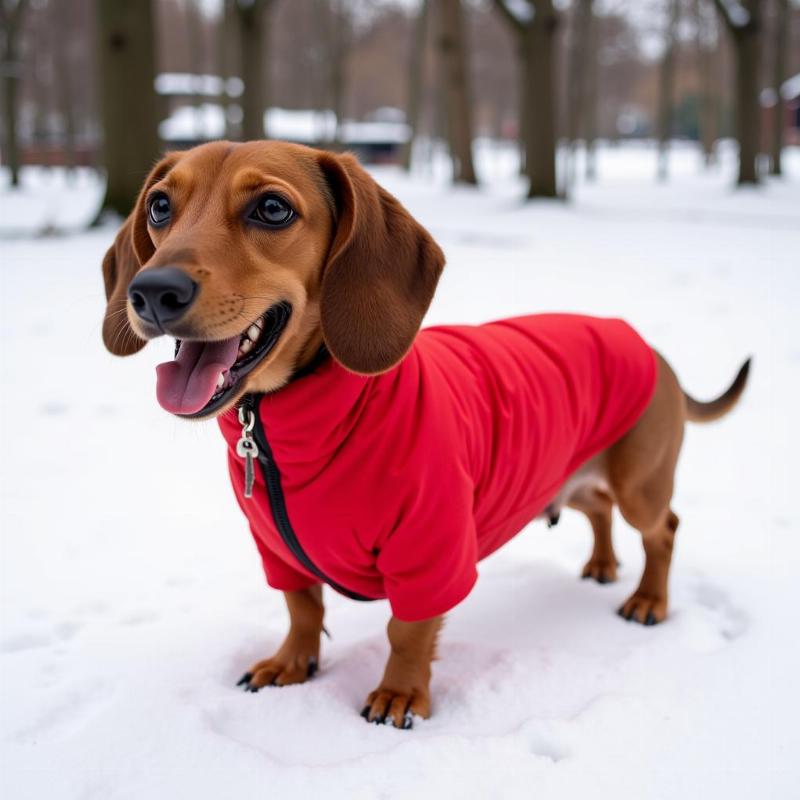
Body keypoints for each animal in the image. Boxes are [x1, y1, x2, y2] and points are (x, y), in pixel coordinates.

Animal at [101, 141, 752, 728]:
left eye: (272, 208)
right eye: (160, 206)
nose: (151, 292)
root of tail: (648, 346)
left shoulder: (431, 549)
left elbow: (406, 629)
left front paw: (400, 694)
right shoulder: (276, 549)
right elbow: (301, 606)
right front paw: (291, 663)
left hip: (641, 483)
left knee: (664, 530)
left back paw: (648, 600)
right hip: (570, 475)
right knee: (598, 510)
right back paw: (602, 564)